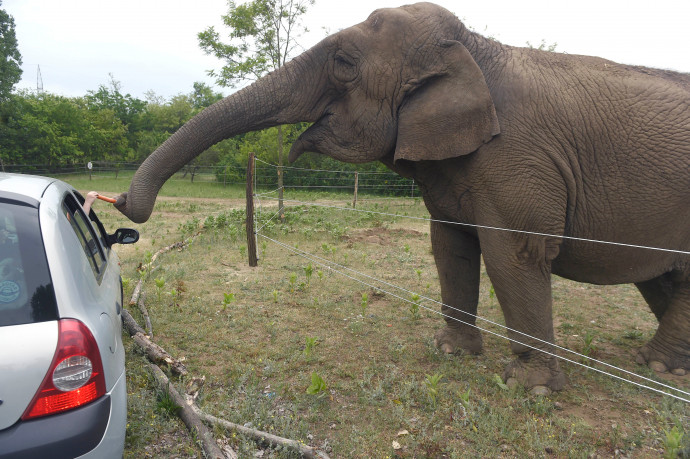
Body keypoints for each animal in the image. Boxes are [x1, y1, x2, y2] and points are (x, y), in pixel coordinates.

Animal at [114, 1, 688, 394]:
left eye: (344, 63)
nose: (120, 203)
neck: (476, 47)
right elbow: (450, 244)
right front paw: (451, 353)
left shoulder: (520, 159)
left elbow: (515, 254)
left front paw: (528, 390)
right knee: (663, 279)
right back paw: (659, 365)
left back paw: (656, 367)